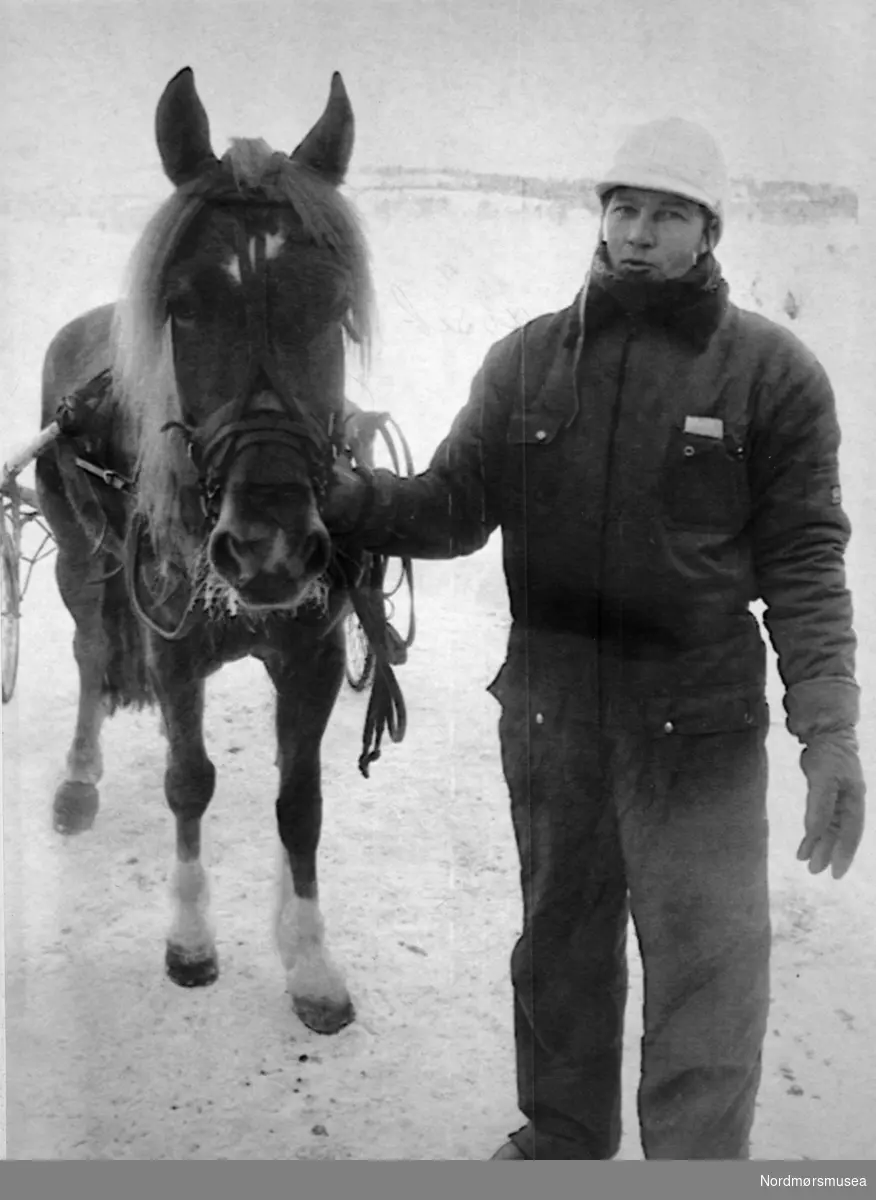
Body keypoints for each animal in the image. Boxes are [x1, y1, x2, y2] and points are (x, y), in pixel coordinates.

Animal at [32, 65, 381, 1036]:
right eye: (184, 306)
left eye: (334, 306)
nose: (269, 547)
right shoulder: (177, 651)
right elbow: (189, 781)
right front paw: (190, 938)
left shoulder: (311, 653)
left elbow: (300, 803)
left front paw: (308, 956)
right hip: (78, 562)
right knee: (90, 651)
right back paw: (79, 780)